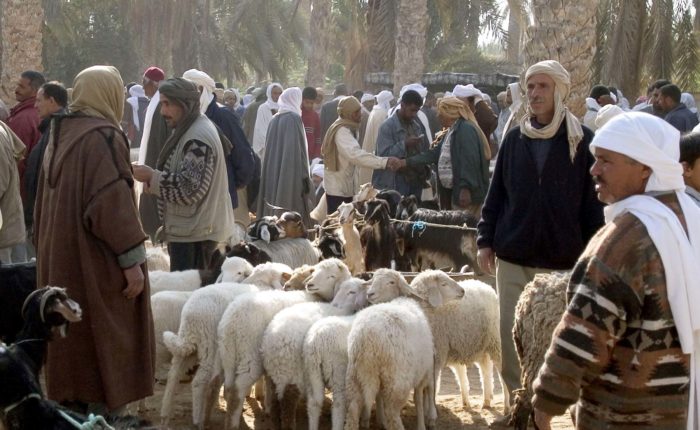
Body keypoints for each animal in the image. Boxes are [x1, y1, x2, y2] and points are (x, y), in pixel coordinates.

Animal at [160, 262, 292, 430]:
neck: (260, 283)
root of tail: (192, 316)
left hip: (188, 345)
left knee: (174, 375)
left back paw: (165, 415)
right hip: (209, 347)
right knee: (200, 382)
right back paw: (199, 420)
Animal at [216, 258, 352, 430]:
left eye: (331, 276)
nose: (310, 284)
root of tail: (231, 322)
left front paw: (266, 405)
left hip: (228, 357)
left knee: (229, 388)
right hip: (253, 360)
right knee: (237, 391)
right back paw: (233, 424)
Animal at [304, 278, 372, 430]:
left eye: (352, 292)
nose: (334, 305)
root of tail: (316, 342)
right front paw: (365, 420)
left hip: (312, 370)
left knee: (314, 402)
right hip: (338, 371)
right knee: (338, 405)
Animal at [346, 298, 438, 430]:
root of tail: (367, 337)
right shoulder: (423, 373)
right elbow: (420, 398)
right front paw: (423, 423)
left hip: (355, 375)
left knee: (353, 408)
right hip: (396, 380)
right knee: (392, 413)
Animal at [366, 268, 508, 414]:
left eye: (391, 282)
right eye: (373, 280)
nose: (369, 294)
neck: (424, 308)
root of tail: (485, 285)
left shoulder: (436, 356)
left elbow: (432, 387)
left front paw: (431, 410)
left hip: (496, 342)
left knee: (501, 373)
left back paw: (506, 406)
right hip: (480, 345)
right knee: (485, 370)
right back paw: (485, 402)